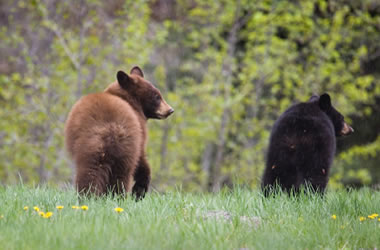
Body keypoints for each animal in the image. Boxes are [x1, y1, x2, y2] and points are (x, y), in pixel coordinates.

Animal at [64, 66, 174, 199]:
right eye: (156, 96)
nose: (170, 110)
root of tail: (111, 128)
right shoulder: (140, 131)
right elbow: (141, 158)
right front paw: (140, 189)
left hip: (93, 149)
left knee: (91, 171)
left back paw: (91, 196)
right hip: (126, 147)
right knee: (121, 174)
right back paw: (117, 196)